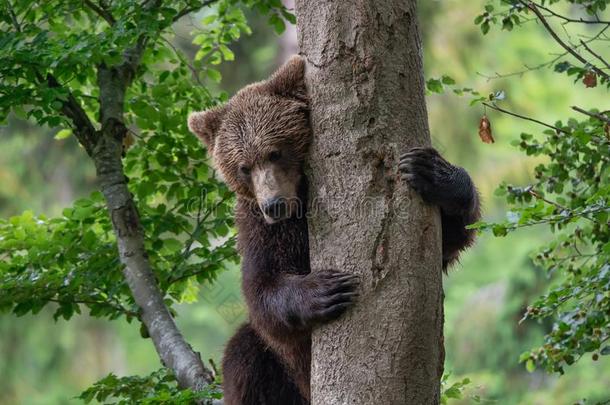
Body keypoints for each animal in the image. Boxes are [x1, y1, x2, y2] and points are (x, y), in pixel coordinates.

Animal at [188, 56, 478, 404]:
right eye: (243, 167)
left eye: (275, 152)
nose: (273, 204)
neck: (300, 200)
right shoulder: (260, 228)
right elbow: (262, 286)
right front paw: (326, 289)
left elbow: (449, 241)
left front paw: (433, 173)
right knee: (245, 355)